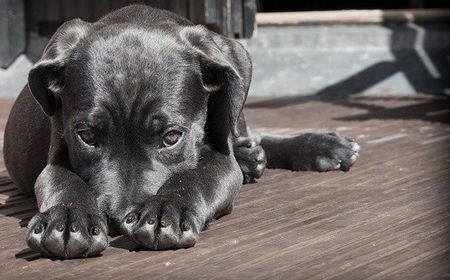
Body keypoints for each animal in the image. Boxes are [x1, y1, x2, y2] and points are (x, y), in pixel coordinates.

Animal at [2, 4, 358, 258]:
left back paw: (320, 146)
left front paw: (166, 210)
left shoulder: (220, 161)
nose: (118, 219)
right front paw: (66, 219)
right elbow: (62, 180)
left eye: (171, 136)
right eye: (87, 136)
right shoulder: (56, 155)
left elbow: (196, 176)